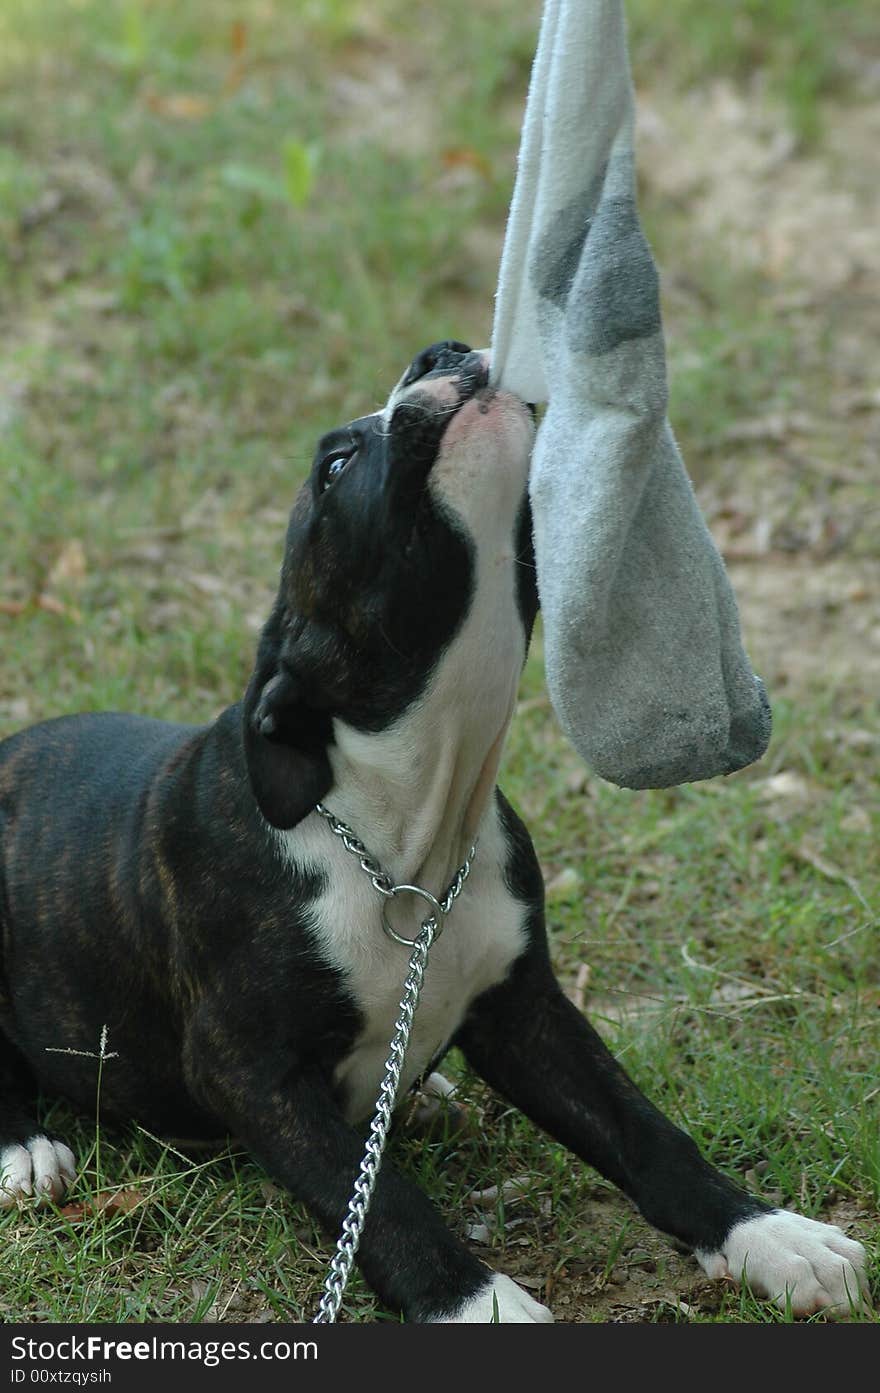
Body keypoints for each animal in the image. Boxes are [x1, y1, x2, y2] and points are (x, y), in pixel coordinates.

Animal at [0, 342, 868, 1320]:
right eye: (336, 464)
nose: (439, 353)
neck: (405, 831)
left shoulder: (529, 1009)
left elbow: (643, 1130)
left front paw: (766, 1233)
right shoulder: (248, 1067)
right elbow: (374, 1196)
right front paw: (476, 1301)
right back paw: (24, 1146)